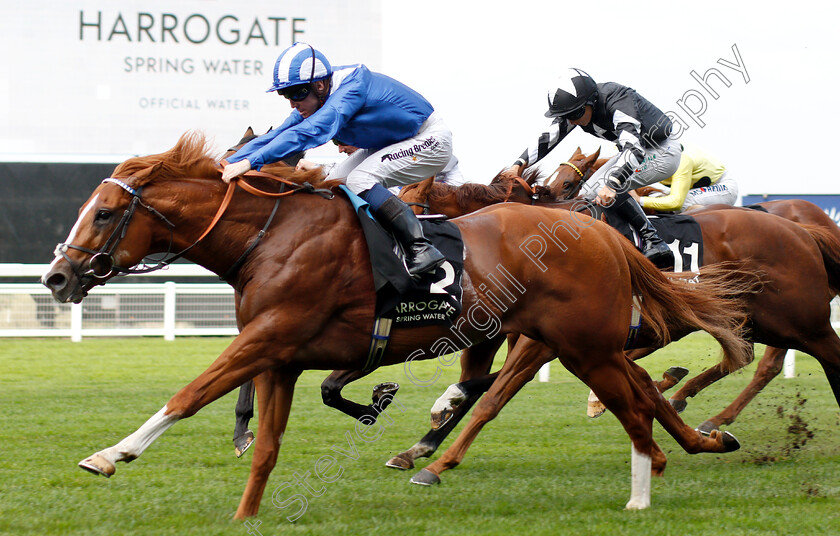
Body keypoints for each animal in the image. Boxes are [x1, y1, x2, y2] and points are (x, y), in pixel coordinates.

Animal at [39, 133, 752, 516]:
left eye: (104, 214)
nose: (57, 277)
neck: (274, 235)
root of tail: (599, 232)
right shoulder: (282, 354)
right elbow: (268, 440)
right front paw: (247, 510)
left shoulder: (269, 336)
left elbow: (190, 394)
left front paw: (110, 454)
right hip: (577, 345)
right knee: (640, 392)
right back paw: (684, 448)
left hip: (579, 344)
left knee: (631, 401)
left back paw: (643, 488)